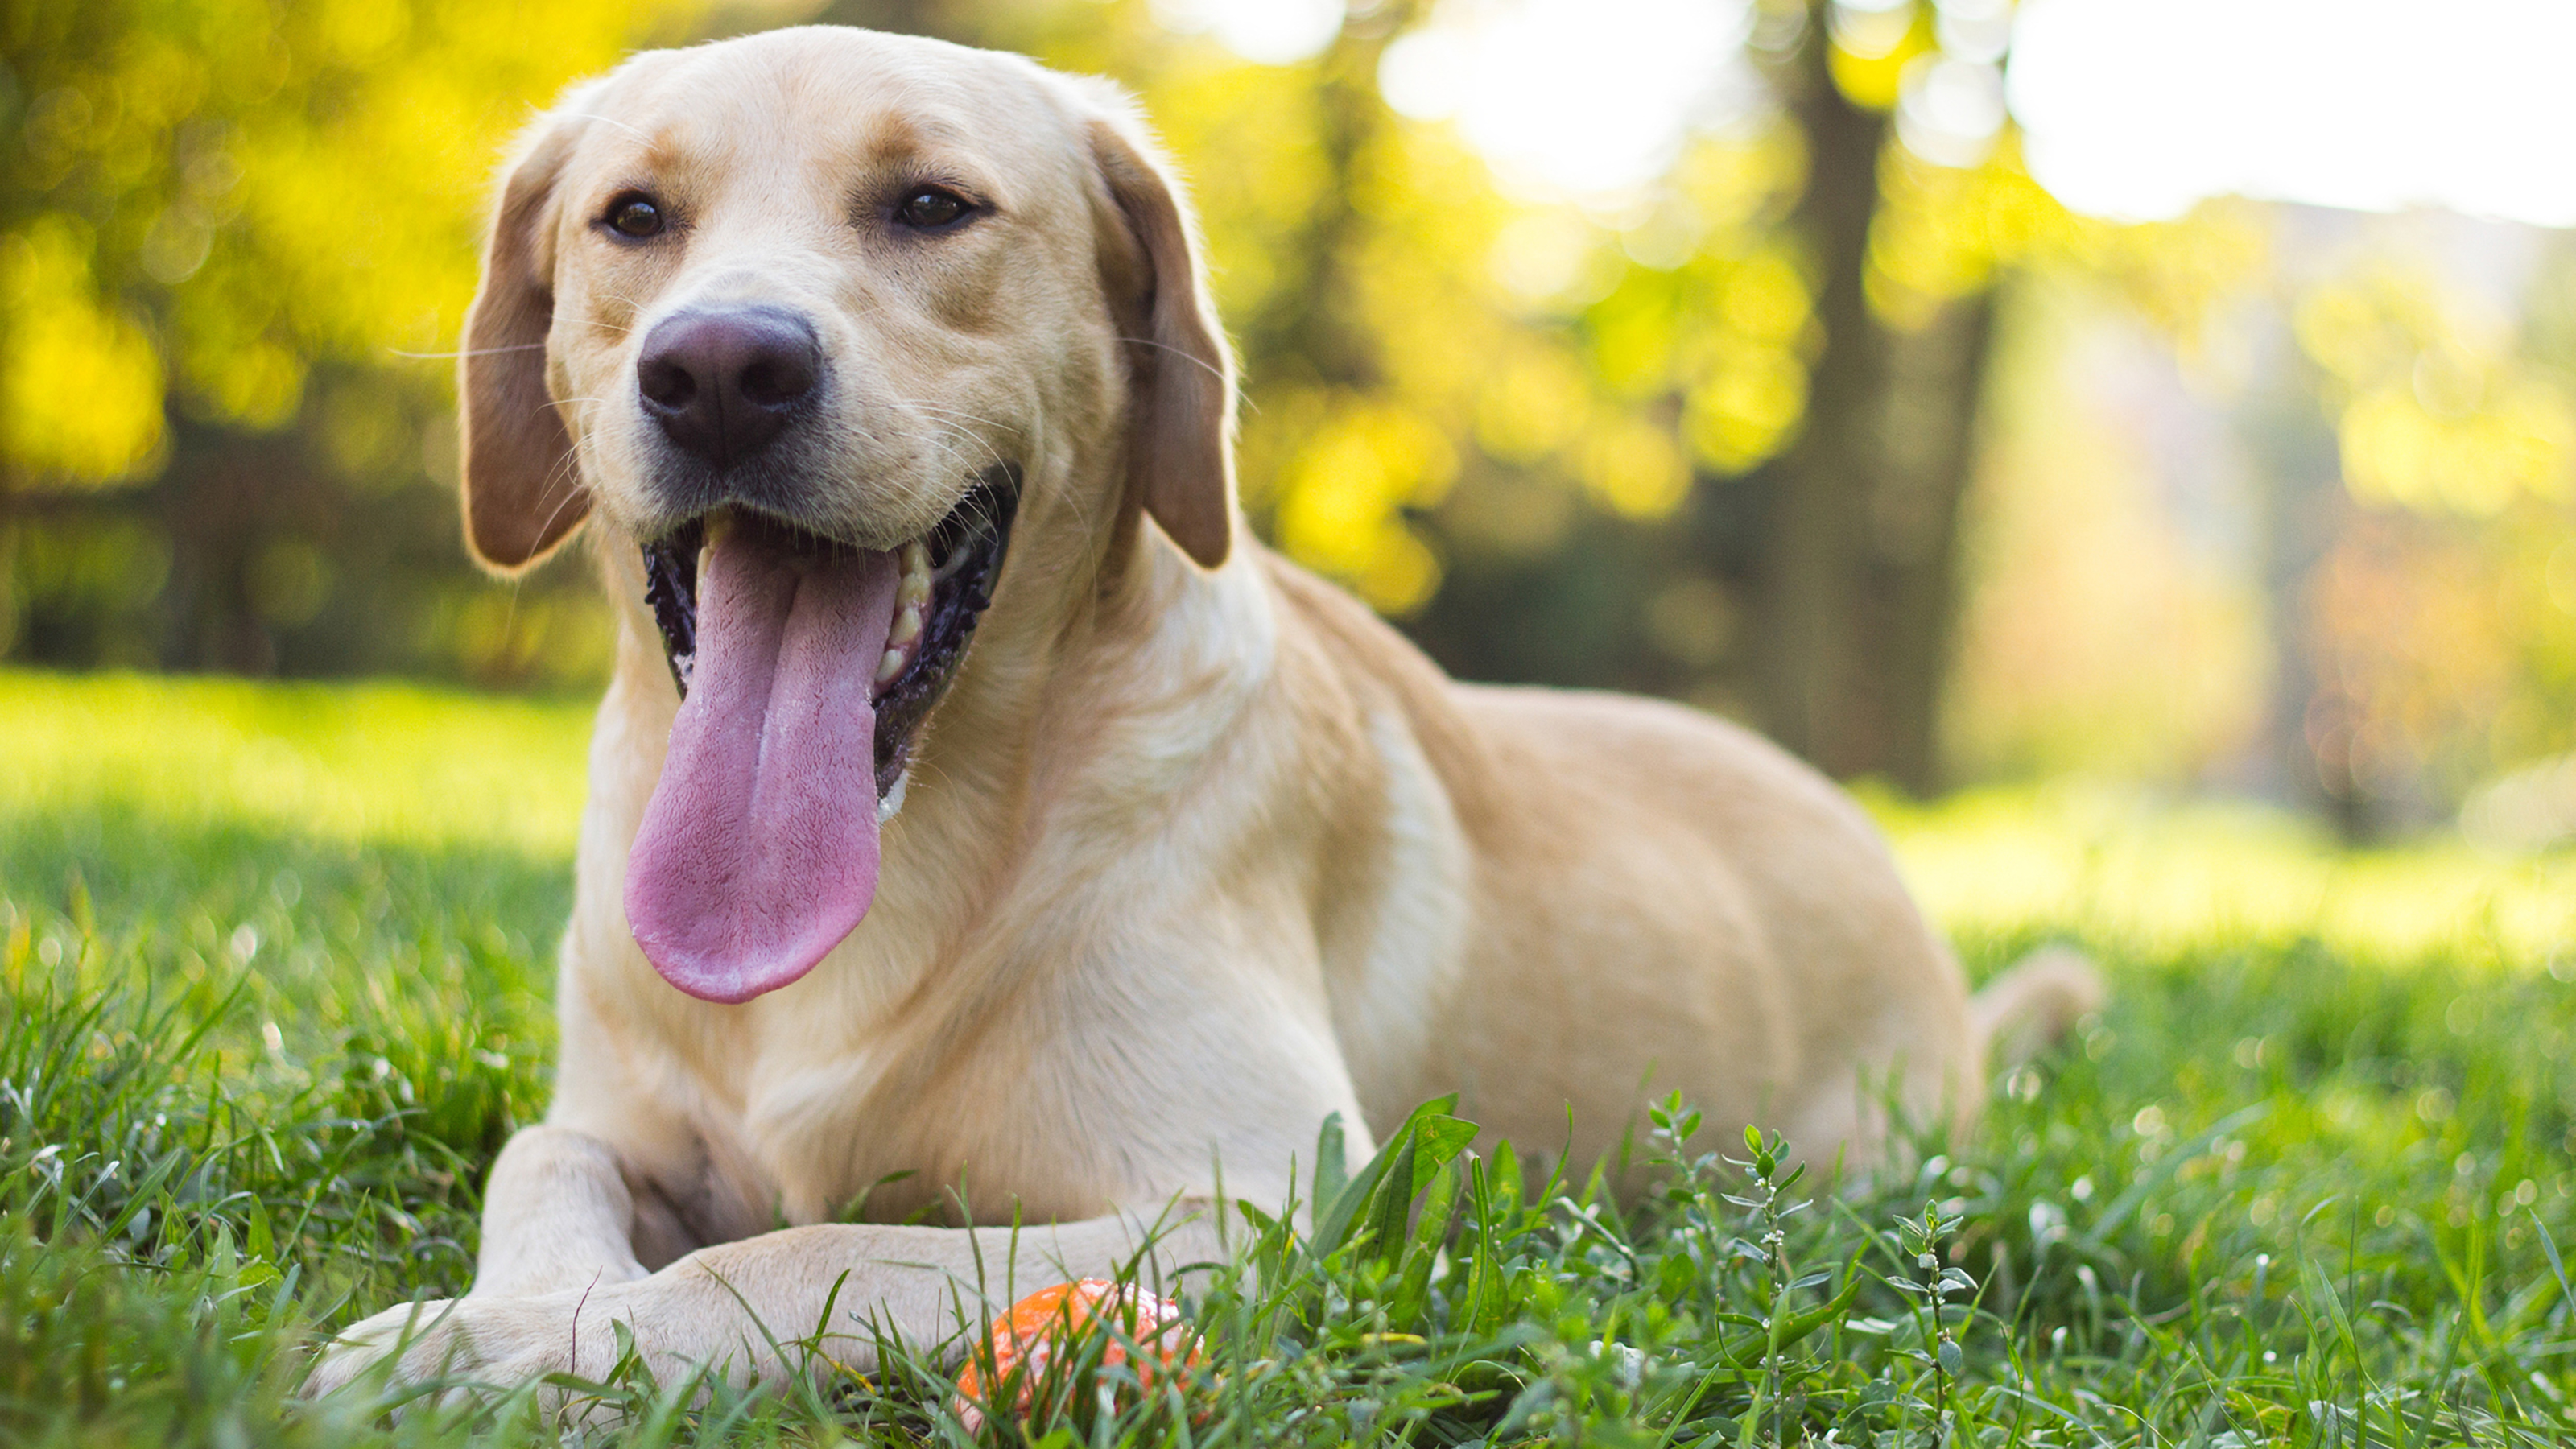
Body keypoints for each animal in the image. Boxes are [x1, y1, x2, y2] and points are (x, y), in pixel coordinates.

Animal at [312, 23, 2102, 1392]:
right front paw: (511, 1313)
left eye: (931, 205)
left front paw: (521, 1348)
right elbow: (542, 1159)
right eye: (633, 217)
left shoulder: (1257, 1201)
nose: (721, 372)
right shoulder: (621, 1121)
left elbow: (804, 1252)